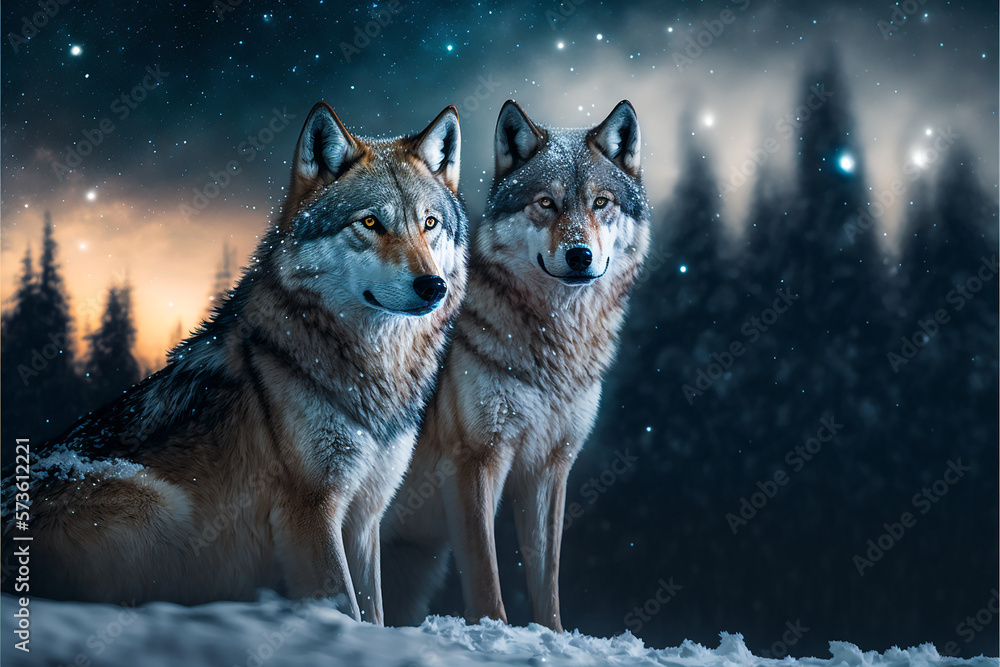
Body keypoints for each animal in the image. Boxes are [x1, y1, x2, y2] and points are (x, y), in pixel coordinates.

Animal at [2, 102, 468, 626]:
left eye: (430, 223)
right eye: (369, 223)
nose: (432, 286)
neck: (374, 372)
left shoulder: (366, 516)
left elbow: (374, 613)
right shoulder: (311, 510)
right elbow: (345, 607)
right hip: (162, 509)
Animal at [381, 100, 650, 631]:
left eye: (601, 202)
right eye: (546, 203)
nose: (579, 254)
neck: (556, 346)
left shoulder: (549, 468)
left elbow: (547, 583)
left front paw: (553, 636)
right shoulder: (474, 462)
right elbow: (487, 580)